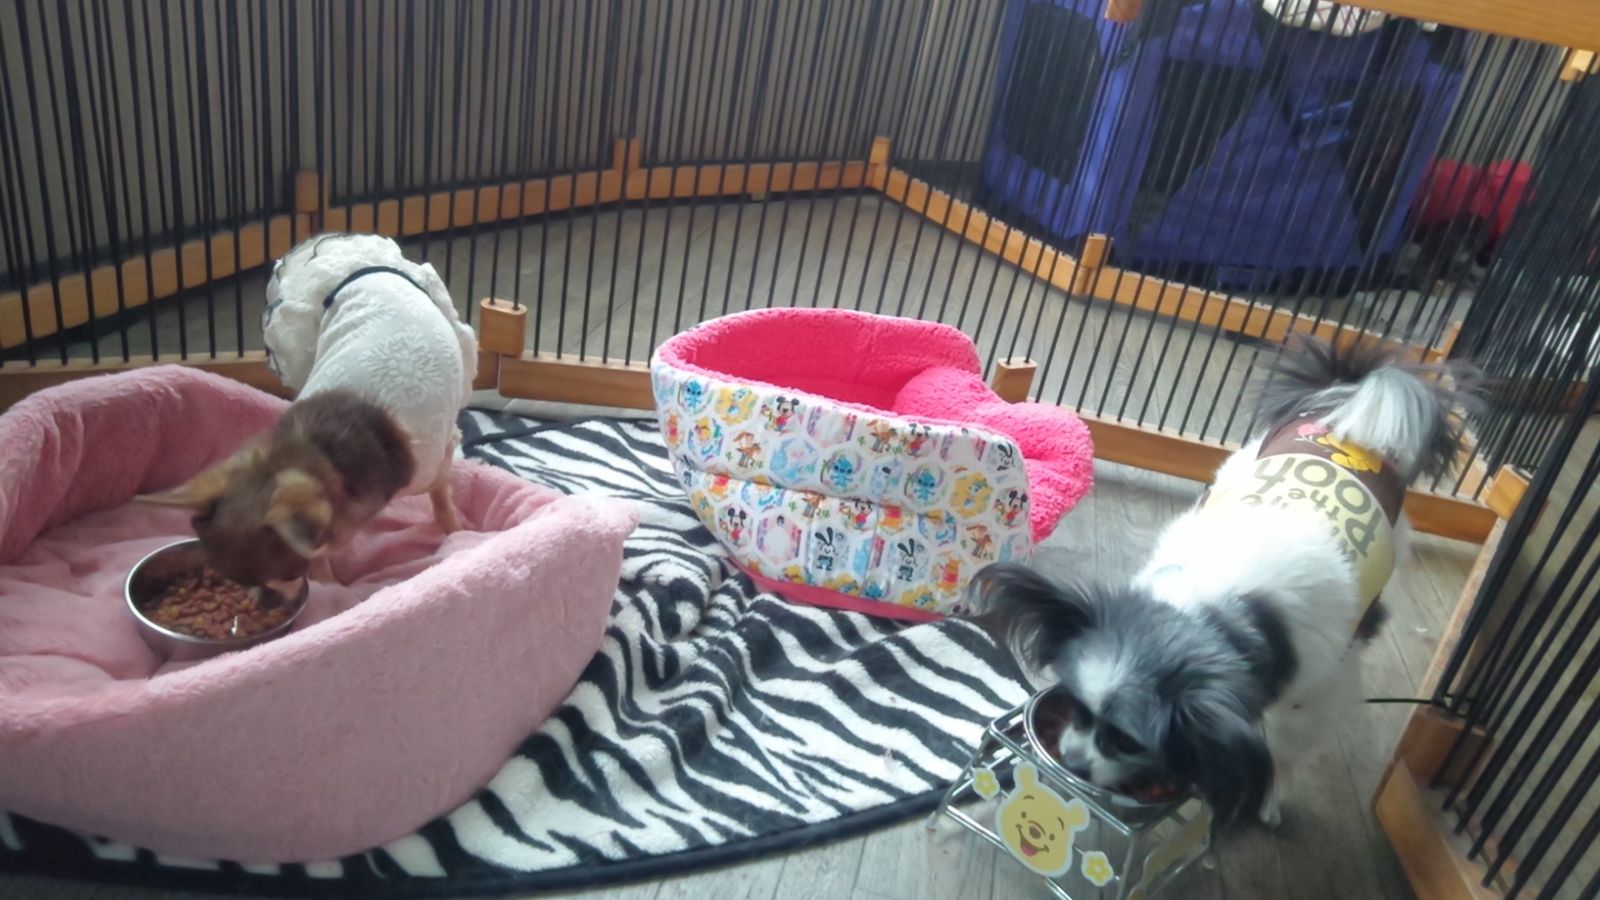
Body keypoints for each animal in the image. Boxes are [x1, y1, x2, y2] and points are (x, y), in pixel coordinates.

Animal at [141, 234, 477, 589]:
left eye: (287, 576)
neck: (320, 448)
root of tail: (353, 254)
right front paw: (327, 581)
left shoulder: (434, 463)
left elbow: (441, 499)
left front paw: (456, 532)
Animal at [969, 336, 1478, 827]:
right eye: (1076, 706)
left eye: (1126, 740)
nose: (1072, 763)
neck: (1210, 605)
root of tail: (1347, 415)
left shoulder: (1314, 692)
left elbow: (1283, 751)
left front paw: (1268, 800)